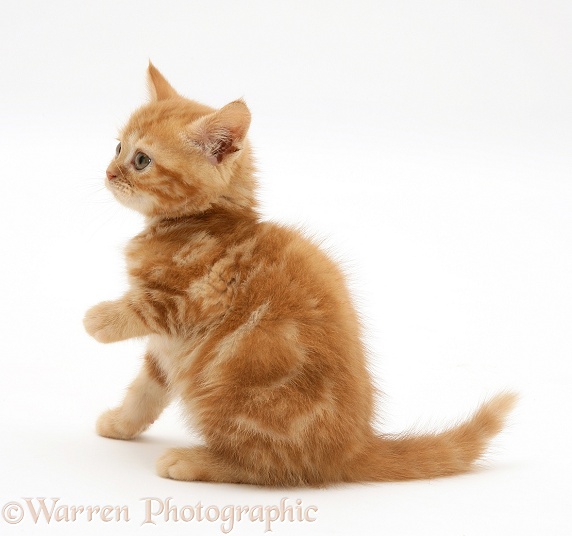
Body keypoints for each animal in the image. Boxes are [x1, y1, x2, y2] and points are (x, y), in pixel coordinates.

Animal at [82, 62, 516, 486]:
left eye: (141, 160)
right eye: (117, 147)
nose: (108, 173)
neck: (199, 223)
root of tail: (353, 448)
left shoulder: (196, 299)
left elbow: (144, 307)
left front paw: (98, 319)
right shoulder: (166, 350)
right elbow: (146, 390)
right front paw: (120, 423)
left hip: (225, 391)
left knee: (268, 466)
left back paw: (193, 461)